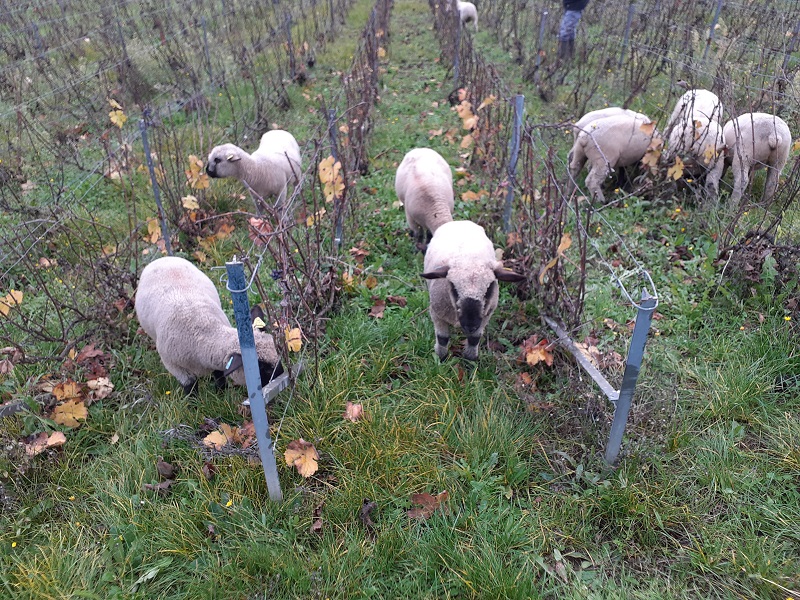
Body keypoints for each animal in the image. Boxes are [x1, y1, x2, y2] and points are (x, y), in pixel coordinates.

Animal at [132, 255, 282, 396]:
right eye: (262, 367)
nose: (281, 378)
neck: (202, 329)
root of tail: (164, 258)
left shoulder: (216, 360)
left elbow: (220, 376)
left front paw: (221, 394)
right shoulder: (177, 368)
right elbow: (190, 387)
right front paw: (193, 403)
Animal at [418, 220, 524, 360]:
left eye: (489, 288)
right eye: (453, 287)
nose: (470, 326)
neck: (469, 258)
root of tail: (460, 221)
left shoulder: (485, 316)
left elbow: (474, 339)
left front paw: (470, 359)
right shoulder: (437, 314)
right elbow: (442, 338)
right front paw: (441, 358)